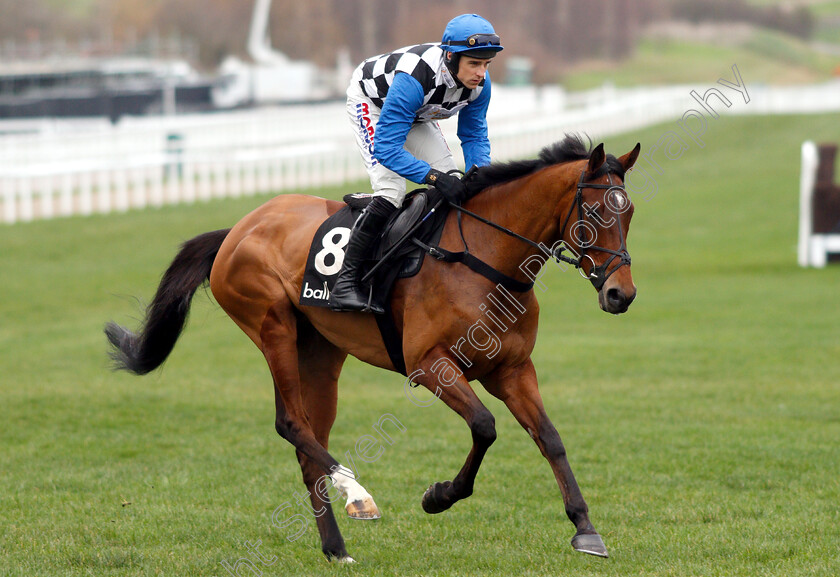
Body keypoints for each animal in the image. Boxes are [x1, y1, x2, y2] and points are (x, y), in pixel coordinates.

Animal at [108, 134, 640, 560]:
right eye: (595, 212)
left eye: (630, 213)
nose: (622, 294)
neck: (485, 261)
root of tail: (237, 229)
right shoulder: (429, 366)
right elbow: (485, 427)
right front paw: (438, 495)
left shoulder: (511, 369)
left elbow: (549, 437)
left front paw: (585, 530)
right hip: (272, 326)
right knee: (290, 424)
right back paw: (356, 492)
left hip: (320, 352)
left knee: (308, 441)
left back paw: (335, 548)